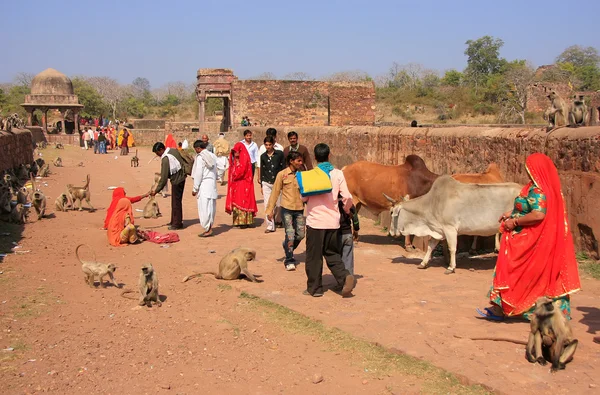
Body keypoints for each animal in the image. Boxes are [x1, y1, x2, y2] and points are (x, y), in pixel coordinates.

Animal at [386, 176, 524, 276]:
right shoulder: (438, 230)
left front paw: (451, 267)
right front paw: (423, 263)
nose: (391, 233)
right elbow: (431, 246)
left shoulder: (450, 228)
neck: (432, 203)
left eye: (392, 212)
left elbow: (452, 248)